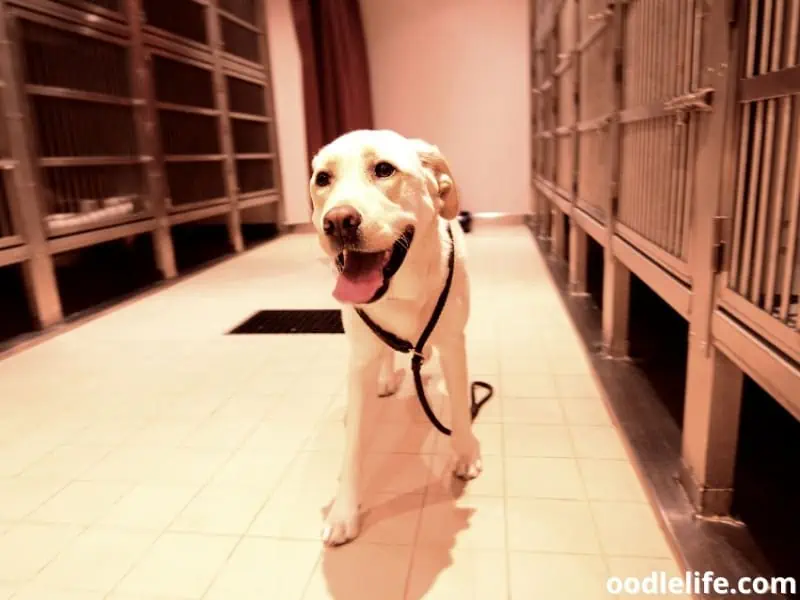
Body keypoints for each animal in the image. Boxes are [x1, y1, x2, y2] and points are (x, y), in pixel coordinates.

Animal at [308, 129, 482, 548]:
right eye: (323, 179)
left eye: (384, 169)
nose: (338, 222)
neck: (400, 290)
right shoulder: (358, 362)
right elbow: (353, 445)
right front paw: (344, 513)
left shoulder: (454, 344)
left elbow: (459, 411)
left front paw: (465, 453)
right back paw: (387, 378)